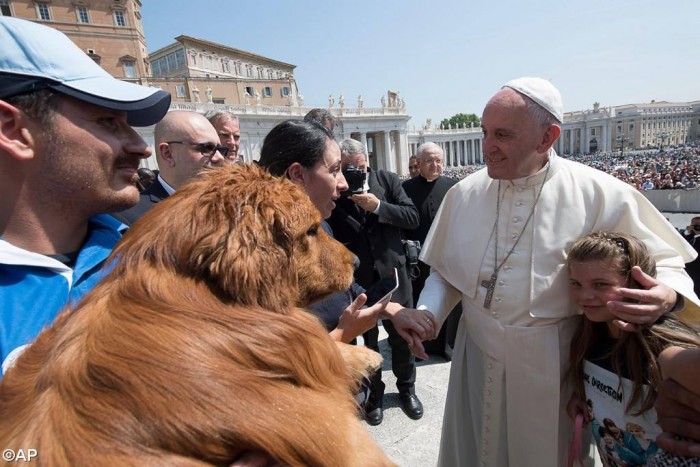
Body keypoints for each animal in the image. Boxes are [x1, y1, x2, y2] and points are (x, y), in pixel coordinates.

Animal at [0, 164, 394, 464]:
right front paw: (363, 356)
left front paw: (362, 355)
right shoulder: (329, 430)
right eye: (311, 230)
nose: (356, 262)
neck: (198, 287)